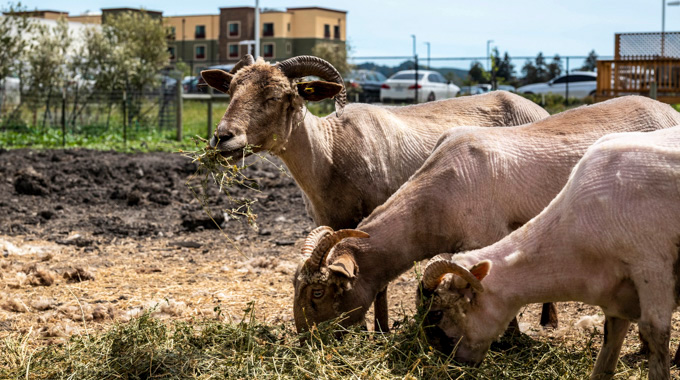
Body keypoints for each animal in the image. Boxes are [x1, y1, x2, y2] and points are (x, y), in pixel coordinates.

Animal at [418, 127, 680, 380]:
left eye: (437, 313)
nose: (453, 365)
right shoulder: (617, 294)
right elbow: (608, 349)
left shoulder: (651, 265)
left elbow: (655, 333)